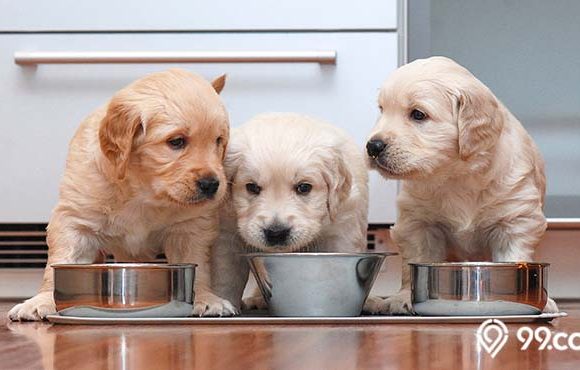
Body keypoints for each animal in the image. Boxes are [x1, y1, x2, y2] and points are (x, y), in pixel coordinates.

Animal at [9, 68, 237, 320]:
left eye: (219, 140)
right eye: (176, 141)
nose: (212, 184)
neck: (143, 191)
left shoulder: (190, 226)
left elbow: (197, 265)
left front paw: (206, 298)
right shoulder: (74, 221)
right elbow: (58, 263)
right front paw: (42, 300)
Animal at [211, 114, 378, 310]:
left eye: (304, 187)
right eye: (252, 187)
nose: (276, 232)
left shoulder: (342, 229)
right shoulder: (226, 232)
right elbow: (226, 277)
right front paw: (220, 303)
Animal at [368, 57, 556, 316]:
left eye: (418, 114)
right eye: (382, 109)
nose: (372, 146)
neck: (456, 175)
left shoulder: (515, 220)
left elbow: (514, 255)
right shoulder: (418, 223)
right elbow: (413, 262)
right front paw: (404, 297)